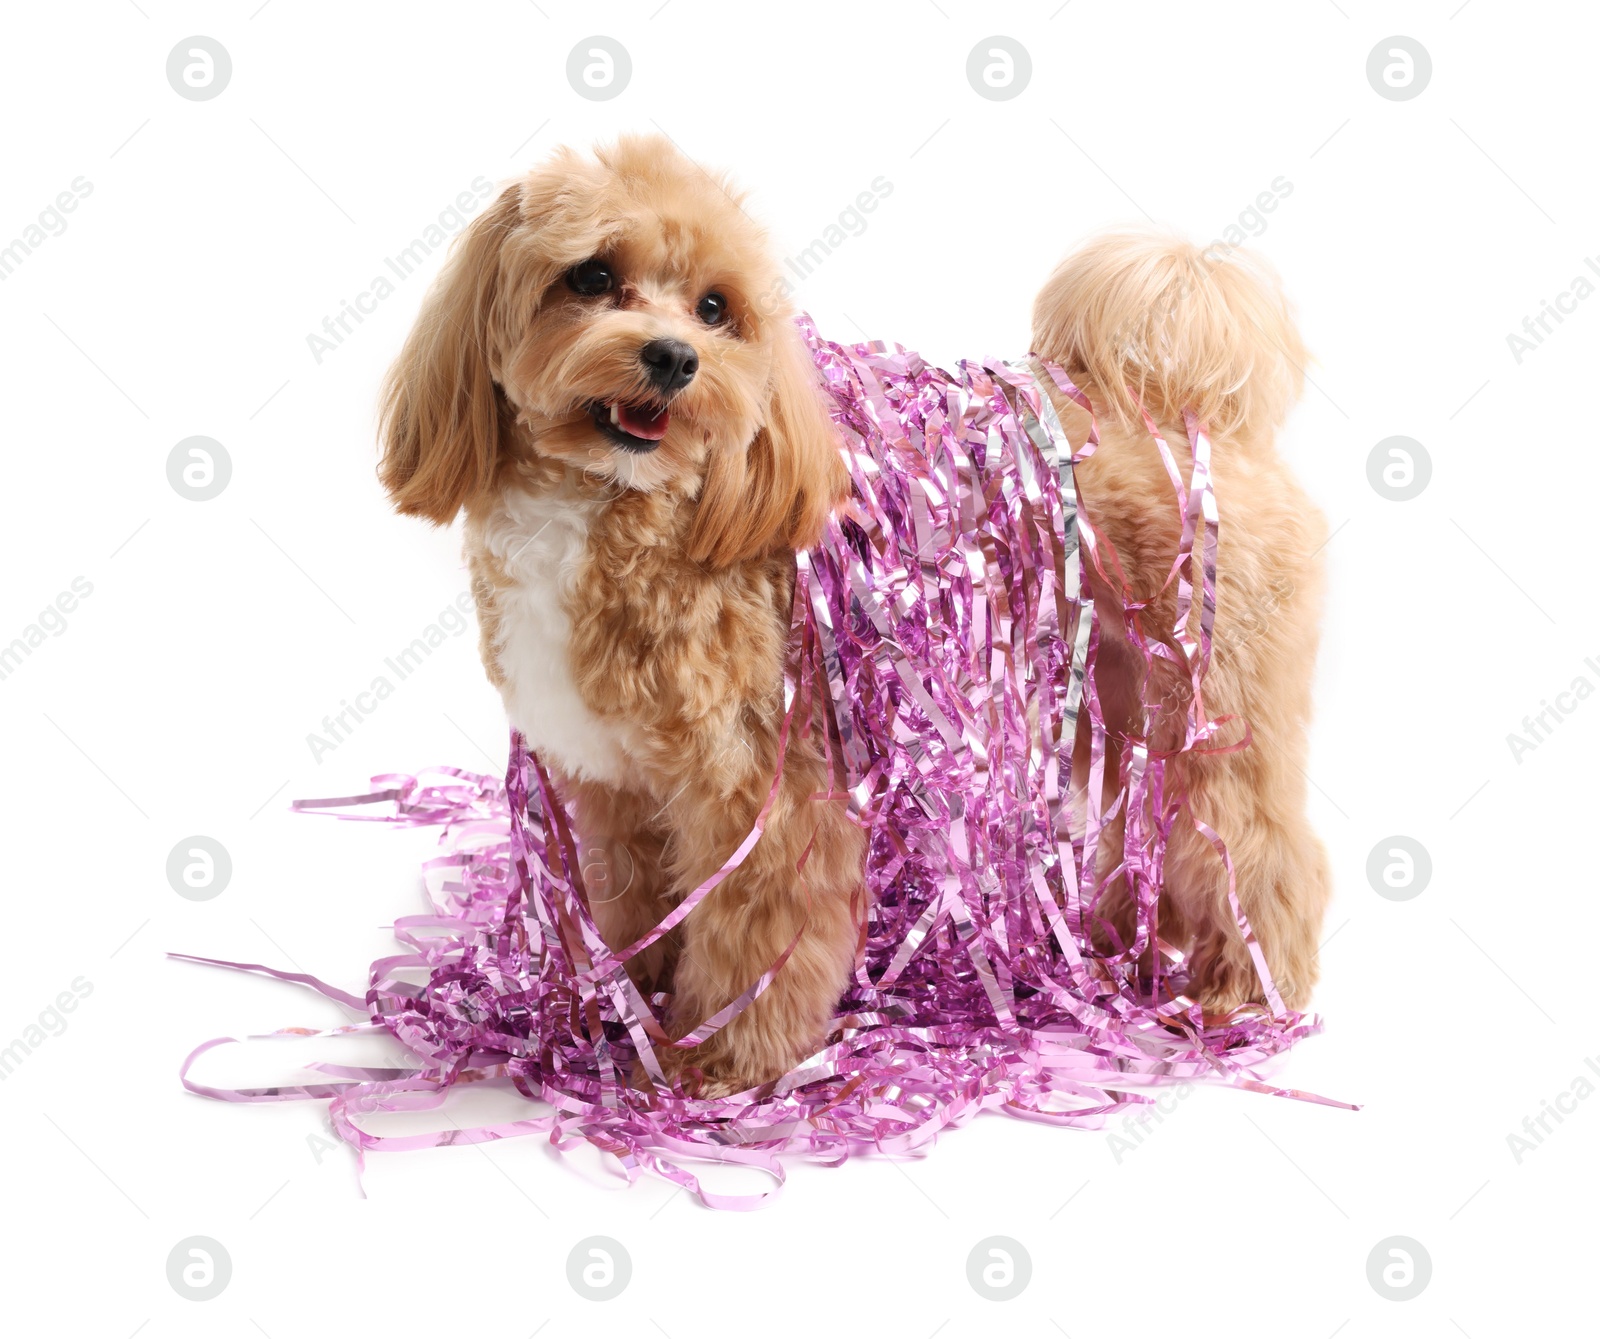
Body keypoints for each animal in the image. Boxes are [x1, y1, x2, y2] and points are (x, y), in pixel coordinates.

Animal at [380, 135, 1331, 1094]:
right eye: (592, 275)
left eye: (715, 308)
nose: (674, 358)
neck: (618, 505)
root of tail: (1183, 404)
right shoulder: (616, 787)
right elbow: (634, 907)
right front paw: (627, 1015)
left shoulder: (762, 785)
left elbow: (759, 931)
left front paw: (723, 1058)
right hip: (1118, 695)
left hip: (1214, 702)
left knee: (1257, 841)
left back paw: (1244, 987)